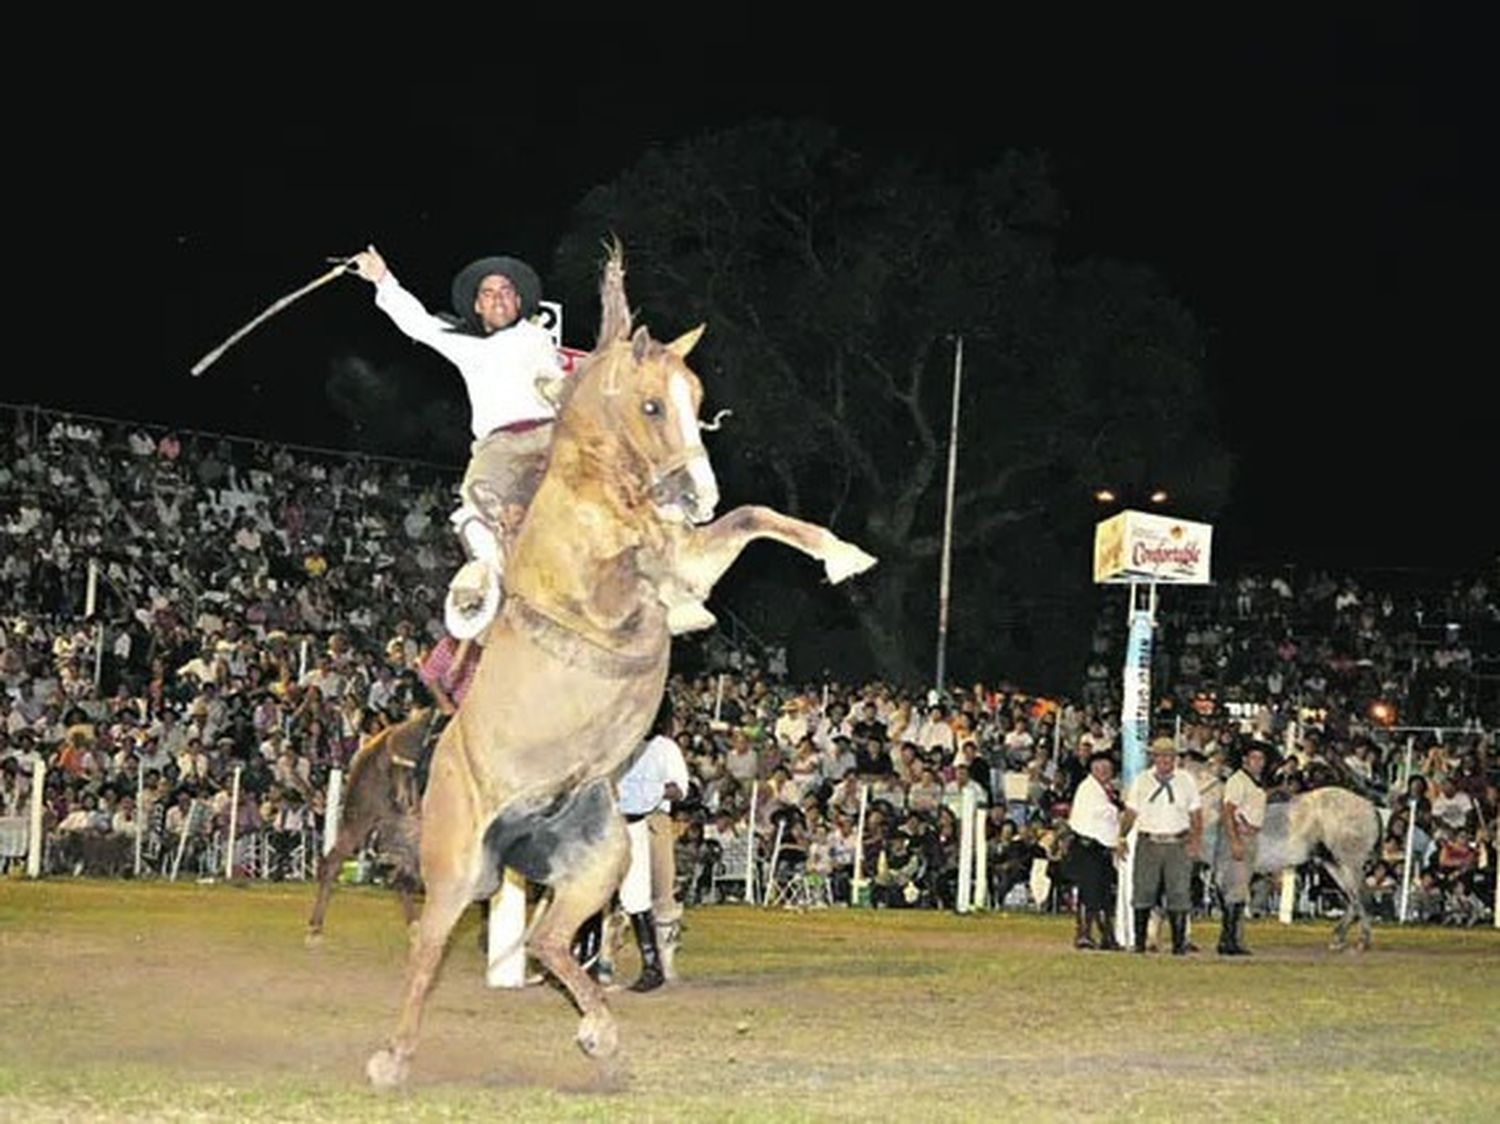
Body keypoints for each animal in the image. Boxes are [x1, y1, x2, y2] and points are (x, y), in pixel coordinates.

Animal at [366, 247, 876, 1086]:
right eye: (650, 405)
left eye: (696, 398)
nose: (695, 493)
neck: (595, 493)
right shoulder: (601, 587)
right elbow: (641, 563)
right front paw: (680, 601)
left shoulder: (699, 547)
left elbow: (752, 520)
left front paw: (843, 557)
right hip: (459, 863)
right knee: (428, 944)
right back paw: (391, 1058)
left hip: (595, 859)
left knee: (547, 940)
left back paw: (600, 1037)